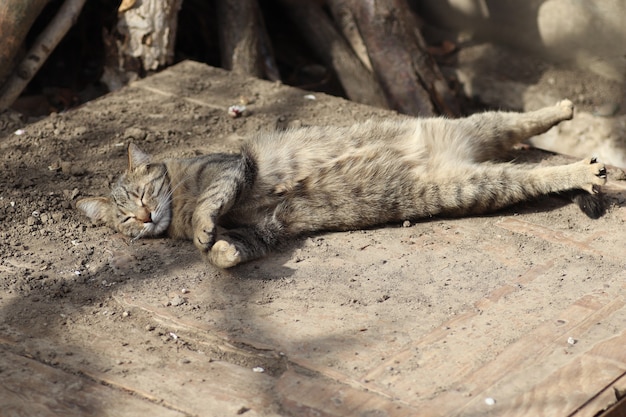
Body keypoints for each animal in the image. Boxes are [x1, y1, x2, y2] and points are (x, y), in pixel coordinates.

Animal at [75, 101, 604, 270]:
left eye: (141, 196)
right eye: (126, 218)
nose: (145, 217)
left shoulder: (232, 168)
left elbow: (212, 201)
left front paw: (206, 229)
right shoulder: (261, 229)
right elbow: (232, 248)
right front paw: (218, 250)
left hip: (480, 130)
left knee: (522, 122)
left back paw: (572, 127)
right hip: (479, 182)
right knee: (528, 166)